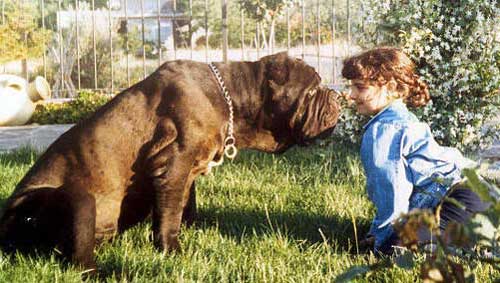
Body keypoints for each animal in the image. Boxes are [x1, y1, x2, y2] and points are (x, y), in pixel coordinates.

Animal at [0, 52, 340, 270]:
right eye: (313, 90)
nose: (337, 96)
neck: (230, 97)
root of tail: (4, 231)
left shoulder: (186, 173)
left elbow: (184, 205)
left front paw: (196, 230)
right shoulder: (173, 165)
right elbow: (168, 215)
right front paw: (172, 251)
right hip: (73, 200)